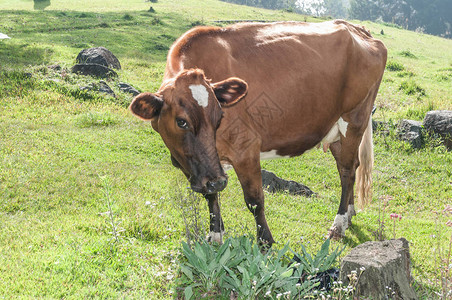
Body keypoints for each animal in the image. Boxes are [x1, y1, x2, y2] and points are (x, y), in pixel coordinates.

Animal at [129, 19, 386, 247]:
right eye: (181, 122)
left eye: (219, 117)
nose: (218, 181)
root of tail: (357, 28)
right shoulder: (196, 163)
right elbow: (210, 195)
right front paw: (215, 235)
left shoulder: (246, 148)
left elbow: (254, 200)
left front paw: (265, 241)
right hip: (336, 130)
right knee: (350, 166)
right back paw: (350, 214)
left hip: (354, 119)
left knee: (347, 171)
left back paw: (339, 224)